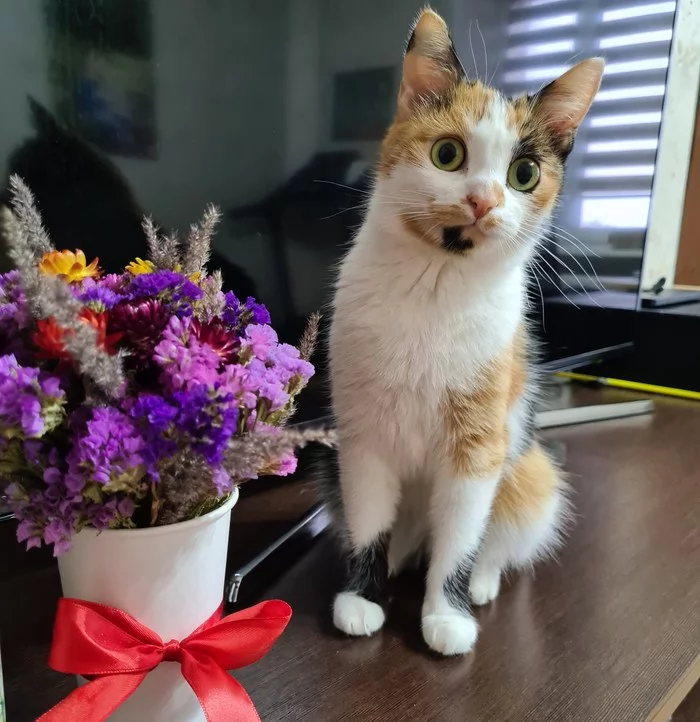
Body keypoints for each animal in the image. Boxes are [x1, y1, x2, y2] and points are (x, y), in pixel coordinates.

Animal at [328, 8, 600, 656]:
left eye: (524, 173)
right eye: (448, 154)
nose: (483, 200)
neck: (435, 286)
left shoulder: (477, 447)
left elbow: (460, 539)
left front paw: (445, 615)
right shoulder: (362, 437)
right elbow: (369, 520)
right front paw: (362, 597)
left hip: (531, 474)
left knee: (495, 540)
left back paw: (480, 583)